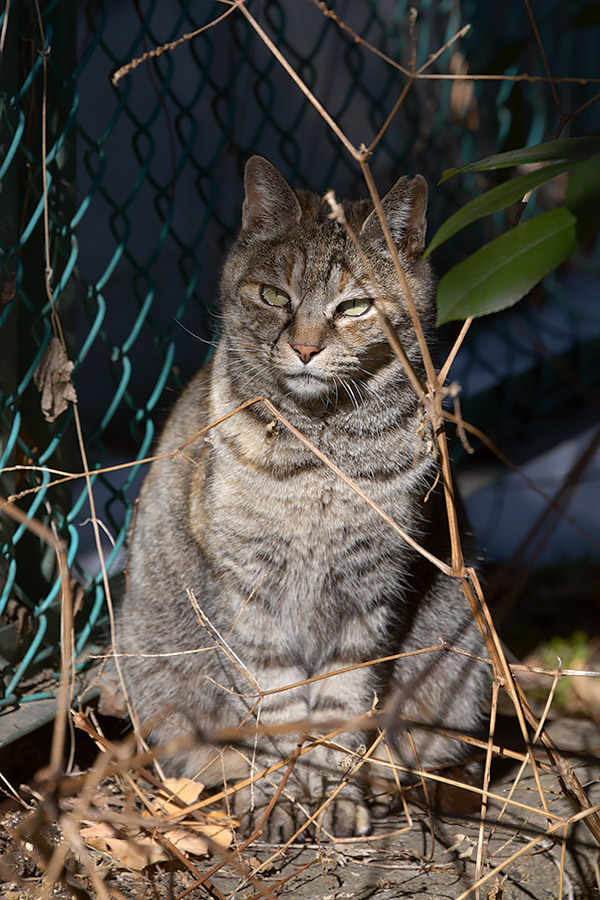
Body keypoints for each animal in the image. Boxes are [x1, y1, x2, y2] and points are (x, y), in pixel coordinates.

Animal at [117, 158, 488, 840]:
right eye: (274, 297)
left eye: (355, 306)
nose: (308, 348)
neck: (321, 455)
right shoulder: (250, 595)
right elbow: (278, 707)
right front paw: (281, 797)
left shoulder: (370, 593)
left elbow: (342, 704)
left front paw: (335, 793)